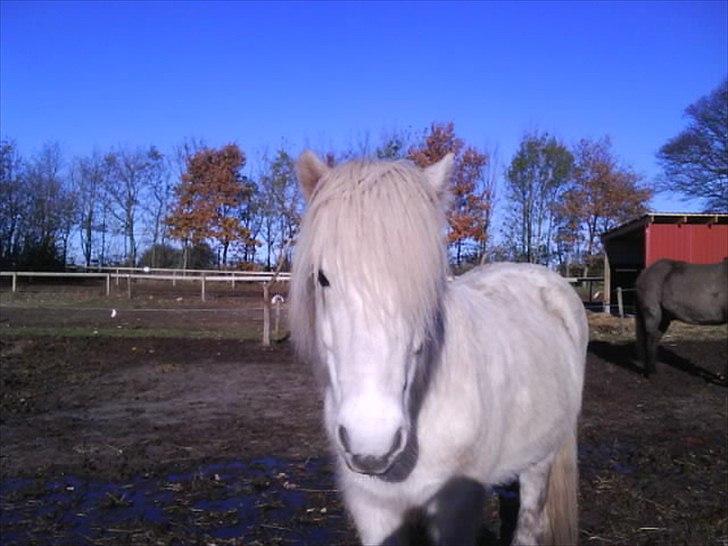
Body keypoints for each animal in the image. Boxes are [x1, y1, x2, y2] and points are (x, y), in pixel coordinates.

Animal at [288, 152, 584, 544]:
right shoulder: (374, 509)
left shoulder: (456, 510)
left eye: (426, 281)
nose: (372, 440)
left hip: (541, 460)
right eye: (322, 277)